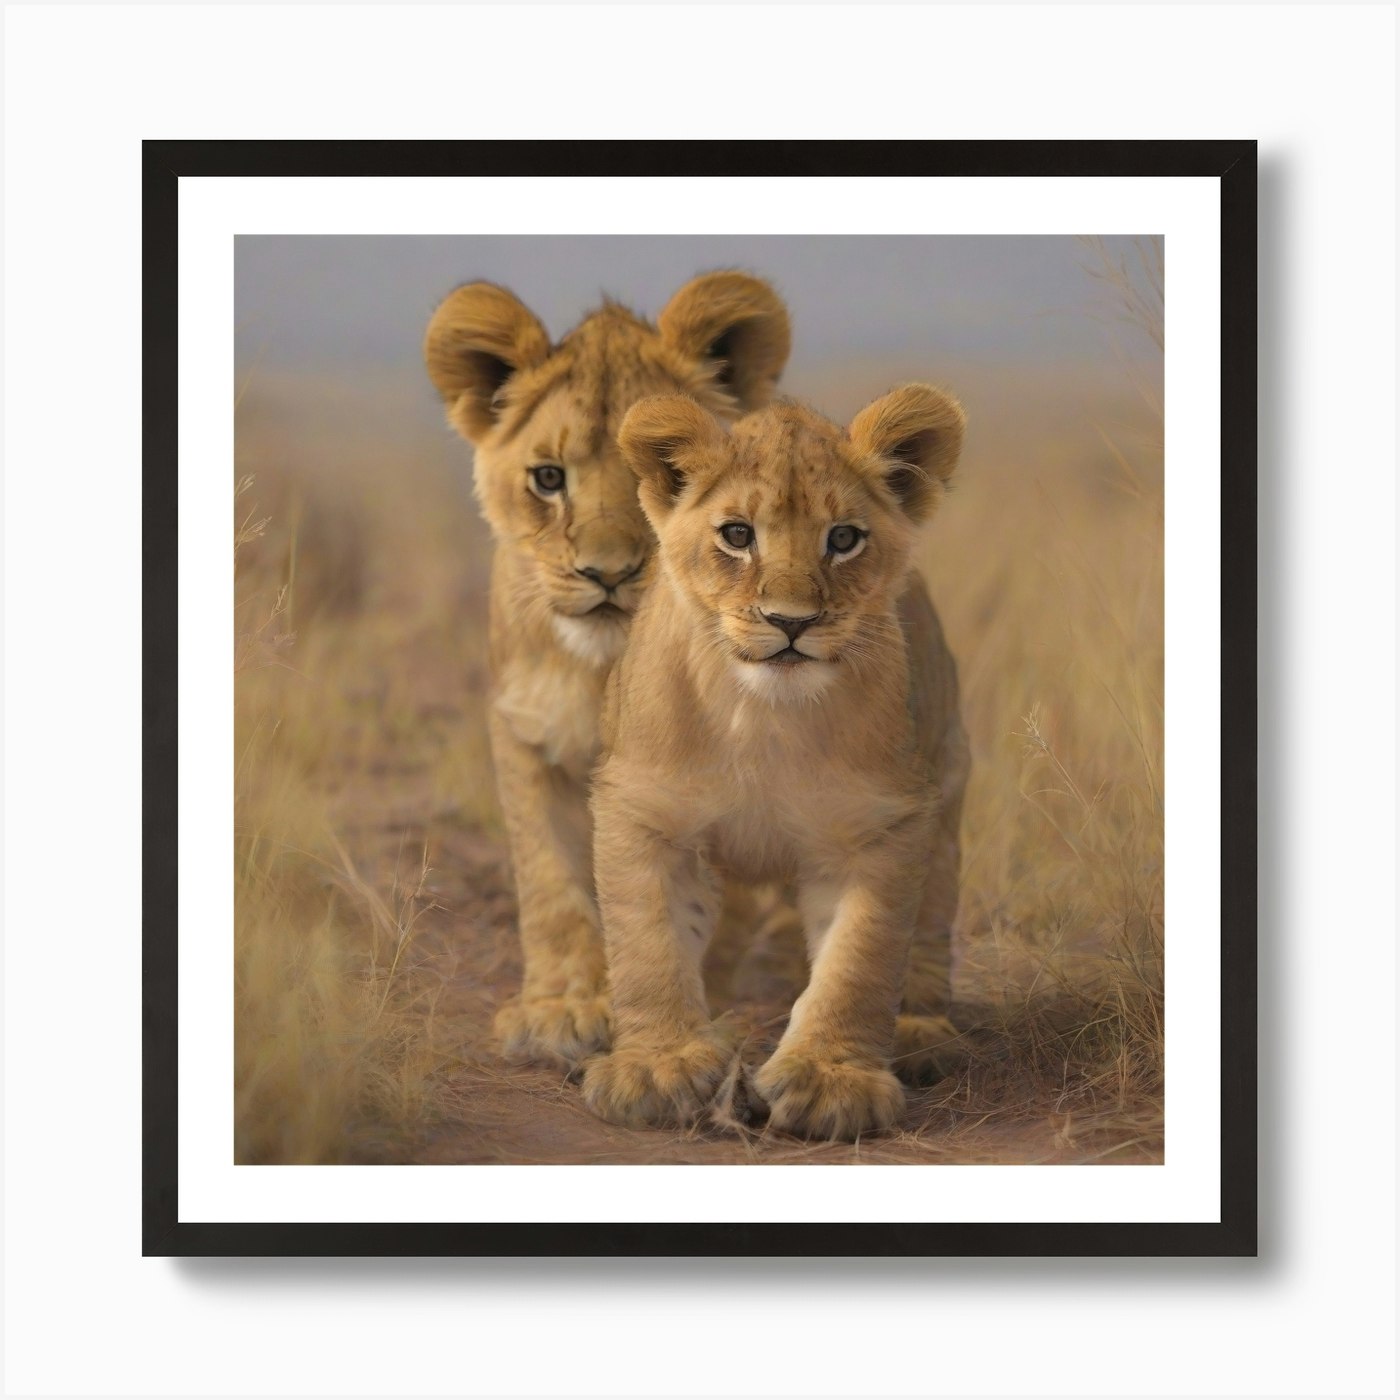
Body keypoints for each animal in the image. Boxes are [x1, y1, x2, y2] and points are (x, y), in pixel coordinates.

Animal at [424, 273, 791, 1068]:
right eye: (547, 478)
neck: (601, 672)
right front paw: (561, 1009)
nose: (608, 573)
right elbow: (551, 883)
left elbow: (701, 907)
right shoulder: (525, 737)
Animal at [581, 385, 969, 1139]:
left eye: (843, 538)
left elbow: (859, 960)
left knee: (933, 918)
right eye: (737, 535)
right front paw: (658, 1066)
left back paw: (920, 1030)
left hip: (947, 783)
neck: (765, 719)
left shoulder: (880, 825)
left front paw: (830, 1080)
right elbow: (648, 944)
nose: (791, 622)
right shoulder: (642, 809)